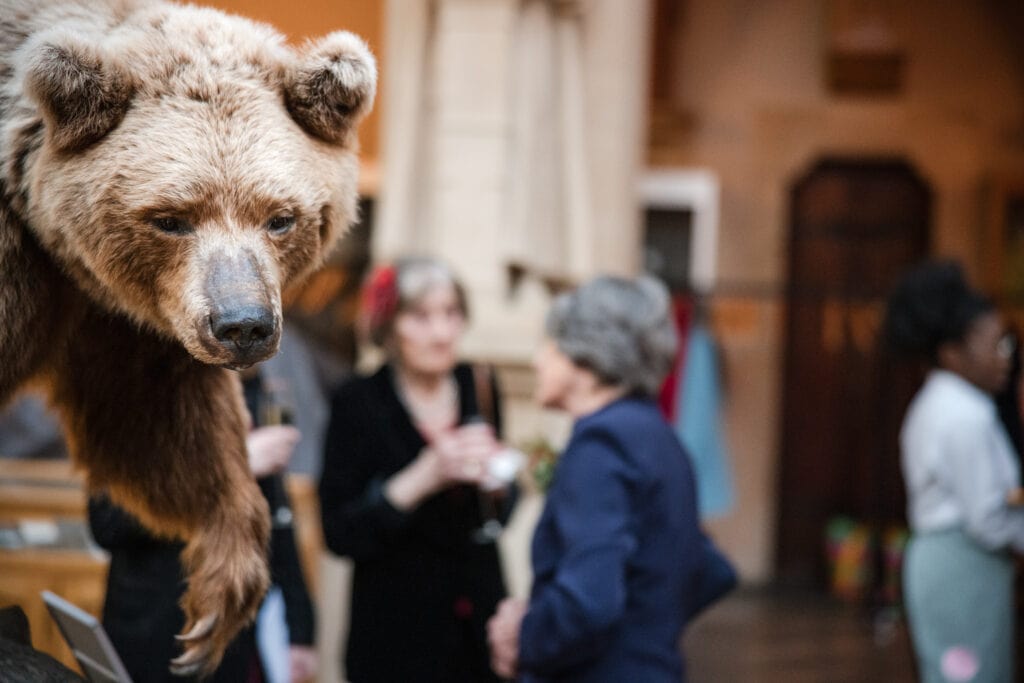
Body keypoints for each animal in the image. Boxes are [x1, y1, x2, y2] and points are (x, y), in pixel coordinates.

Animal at [0, 0, 375, 675]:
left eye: (281, 217)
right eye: (171, 218)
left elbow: (158, 423)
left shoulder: (124, 316)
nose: (243, 325)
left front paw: (212, 611)